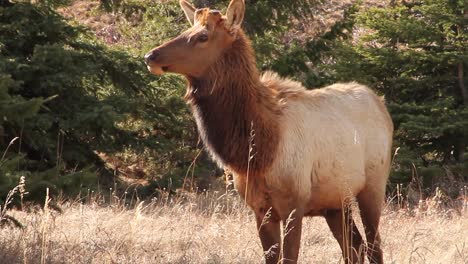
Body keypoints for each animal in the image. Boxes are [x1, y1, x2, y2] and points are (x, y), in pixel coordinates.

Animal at [144, 1, 394, 262]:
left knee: (374, 246)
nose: (150, 56)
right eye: (186, 29)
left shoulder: (294, 203)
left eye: (203, 36)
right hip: (335, 202)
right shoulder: (260, 208)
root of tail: (381, 105)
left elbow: (290, 257)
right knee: (355, 247)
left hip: (373, 187)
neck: (257, 151)